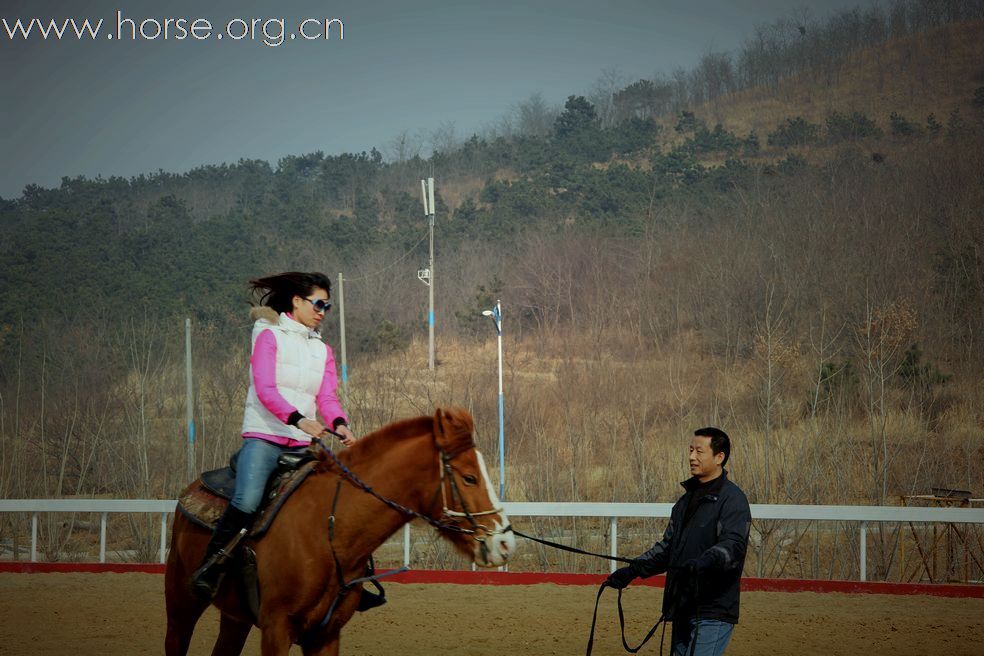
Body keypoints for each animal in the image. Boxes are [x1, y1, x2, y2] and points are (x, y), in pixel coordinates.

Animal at [163, 408, 516, 652]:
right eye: (469, 477)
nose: (505, 543)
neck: (328, 531)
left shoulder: (326, 635)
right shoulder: (276, 628)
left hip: (234, 618)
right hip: (182, 605)